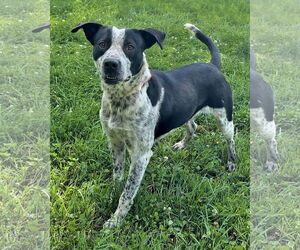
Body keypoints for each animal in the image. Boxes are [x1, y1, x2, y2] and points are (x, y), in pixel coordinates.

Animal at [71, 22, 236, 228]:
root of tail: (211, 65)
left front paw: (116, 220)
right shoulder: (115, 142)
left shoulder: (141, 155)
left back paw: (231, 162)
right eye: (102, 44)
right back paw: (182, 144)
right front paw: (113, 193)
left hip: (224, 119)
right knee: (193, 127)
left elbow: (128, 192)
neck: (122, 98)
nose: (110, 64)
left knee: (231, 140)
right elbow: (118, 176)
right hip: (187, 111)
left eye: (130, 47)